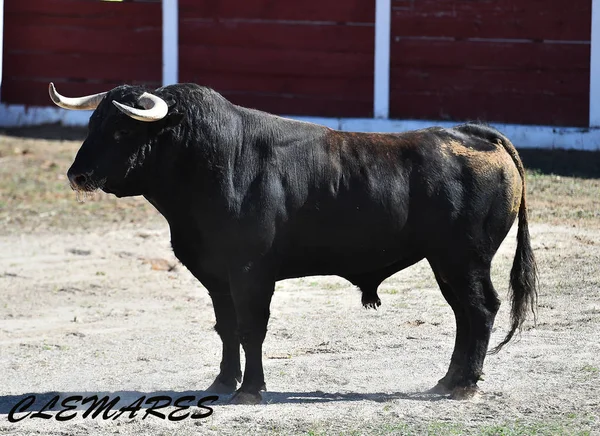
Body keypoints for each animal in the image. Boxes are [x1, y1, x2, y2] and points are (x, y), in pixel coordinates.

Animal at [52, 83, 540, 404]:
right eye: (93, 122)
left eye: (122, 131)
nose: (77, 174)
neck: (213, 161)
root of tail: (474, 132)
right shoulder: (216, 275)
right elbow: (227, 327)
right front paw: (221, 384)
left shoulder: (251, 273)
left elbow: (252, 328)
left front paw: (251, 390)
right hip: (445, 262)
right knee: (463, 313)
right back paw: (448, 380)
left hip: (465, 258)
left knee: (480, 309)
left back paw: (465, 384)